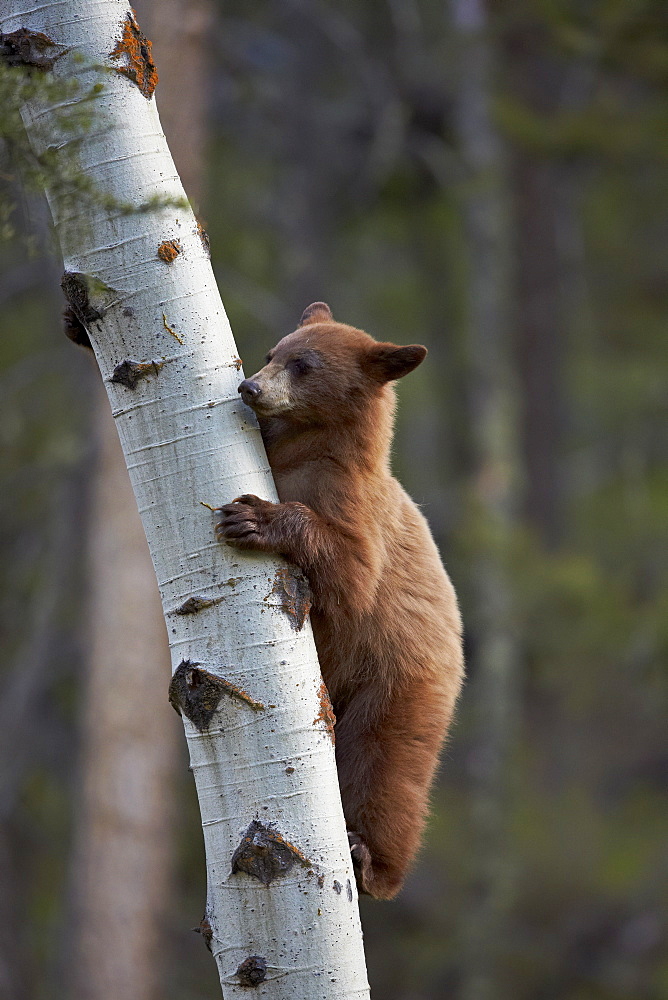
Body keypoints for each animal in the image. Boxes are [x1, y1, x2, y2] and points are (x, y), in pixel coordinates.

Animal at [217, 302, 462, 900]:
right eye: (272, 353)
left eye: (303, 364)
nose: (250, 387)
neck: (305, 448)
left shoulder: (351, 502)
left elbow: (351, 572)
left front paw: (256, 517)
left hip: (397, 686)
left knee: (384, 771)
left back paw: (372, 863)